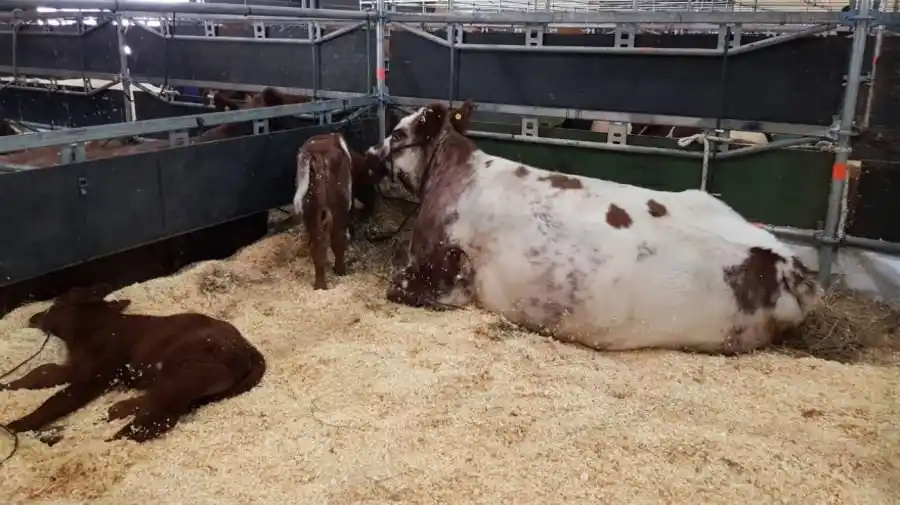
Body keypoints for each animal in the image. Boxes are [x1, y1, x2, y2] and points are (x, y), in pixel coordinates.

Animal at [0, 283, 266, 443]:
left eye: (55, 303)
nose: (33, 316)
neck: (92, 325)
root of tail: (247, 346)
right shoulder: (73, 368)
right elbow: (40, 374)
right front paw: (7, 386)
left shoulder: (94, 377)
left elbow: (56, 401)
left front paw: (18, 424)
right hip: (181, 380)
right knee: (162, 403)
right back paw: (117, 410)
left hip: (185, 371)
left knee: (158, 418)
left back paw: (109, 440)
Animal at [292, 132, 383, 290]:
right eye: (370, 183)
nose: (372, 206)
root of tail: (316, 153)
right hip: (338, 208)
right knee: (338, 239)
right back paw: (340, 271)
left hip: (311, 211)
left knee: (317, 245)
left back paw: (320, 285)